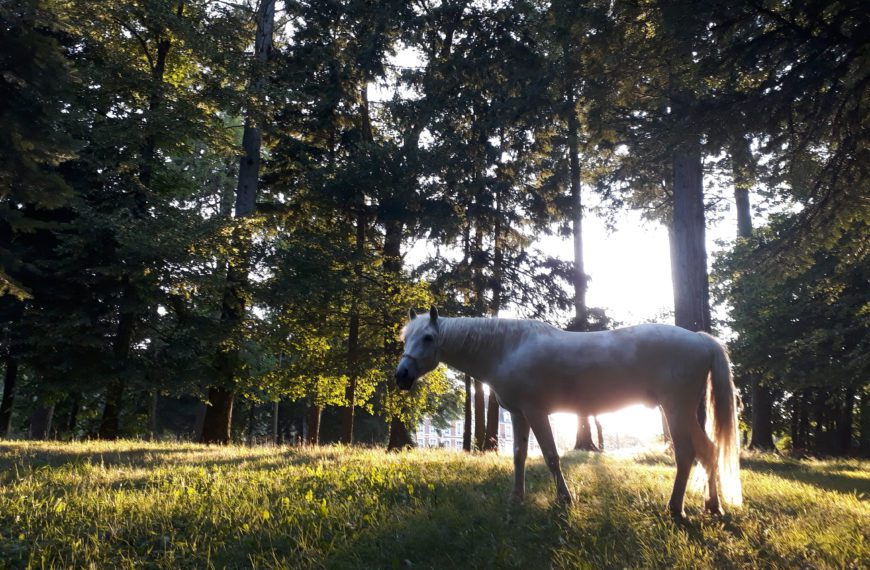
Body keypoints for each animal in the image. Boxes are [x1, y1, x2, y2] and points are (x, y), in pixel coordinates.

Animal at [396, 306, 744, 516]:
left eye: (428, 337)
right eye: (405, 338)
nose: (402, 375)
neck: (507, 348)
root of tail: (701, 340)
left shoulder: (536, 412)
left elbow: (551, 456)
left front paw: (565, 499)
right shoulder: (519, 415)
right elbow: (519, 456)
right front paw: (516, 498)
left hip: (676, 410)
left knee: (686, 454)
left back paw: (675, 508)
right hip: (685, 412)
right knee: (709, 451)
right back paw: (713, 506)